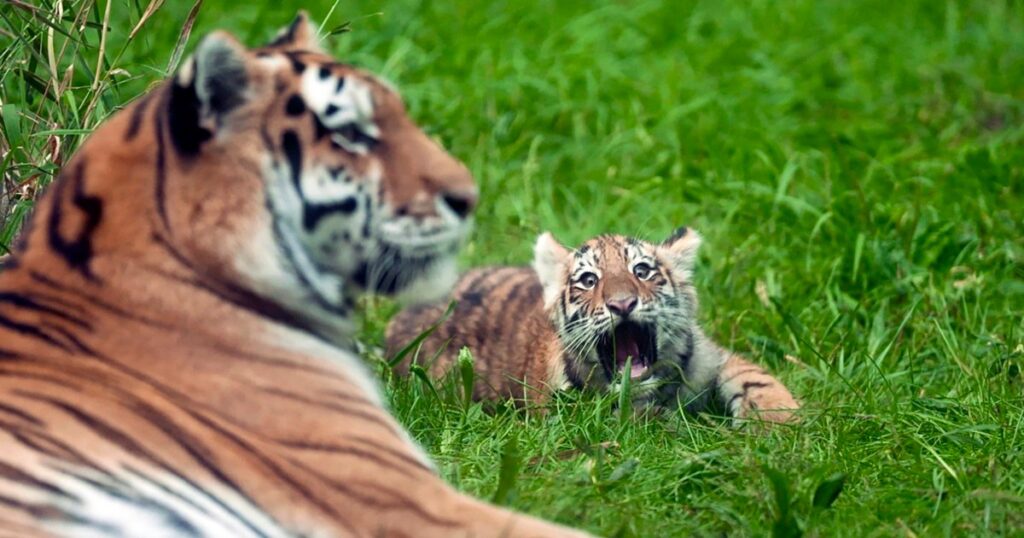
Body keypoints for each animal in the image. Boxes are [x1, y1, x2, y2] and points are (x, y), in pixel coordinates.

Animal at [386, 228, 800, 423]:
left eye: (642, 271)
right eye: (588, 280)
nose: (622, 304)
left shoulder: (712, 355)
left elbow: (756, 380)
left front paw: (777, 425)